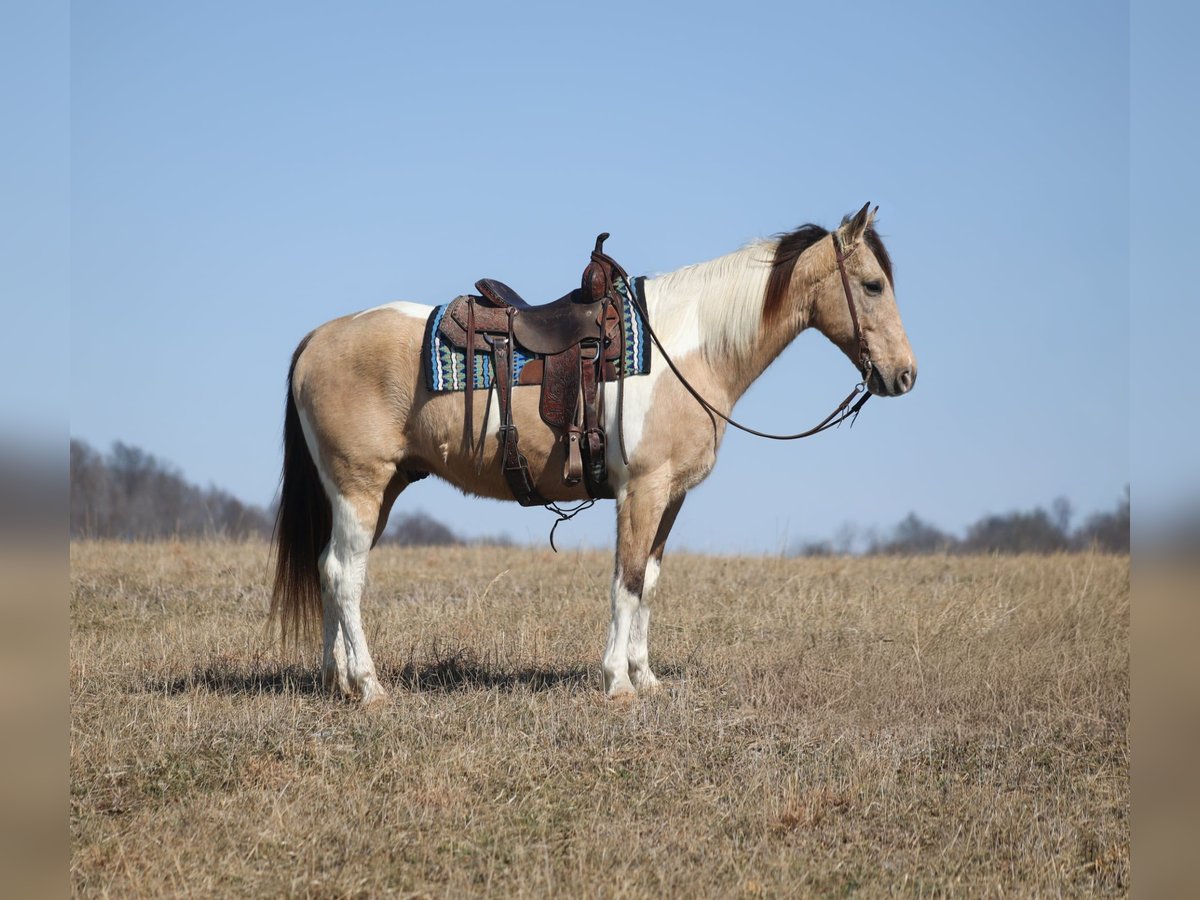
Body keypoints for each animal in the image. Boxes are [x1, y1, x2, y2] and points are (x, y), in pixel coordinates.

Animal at [270, 203, 917, 705]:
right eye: (873, 285)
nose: (905, 375)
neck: (687, 350)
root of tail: (316, 339)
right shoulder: (641, 490)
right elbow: (625, 581)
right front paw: (617, 682)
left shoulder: (670, 498)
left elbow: (649, 581)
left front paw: (646, 677)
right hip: (359, 488)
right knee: (345, 574)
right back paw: (370, 686)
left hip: (378, 491)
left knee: (329, 570)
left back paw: (337, 681)